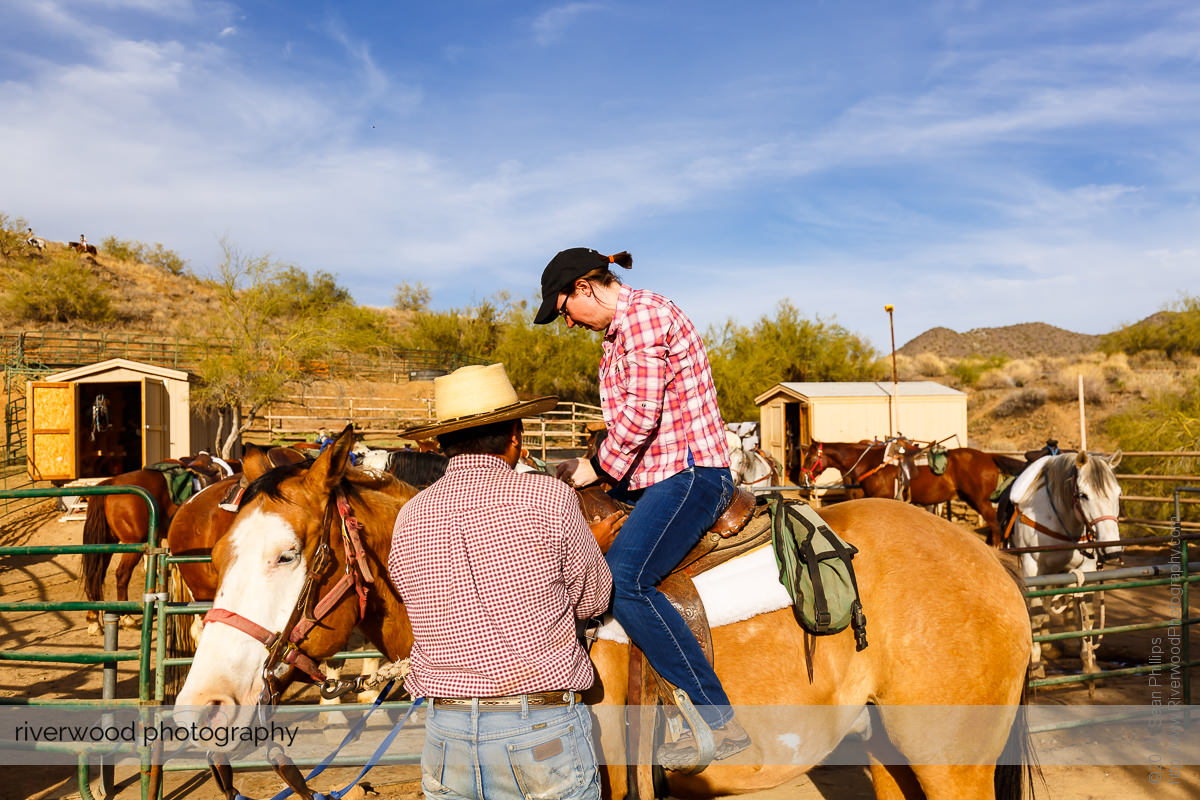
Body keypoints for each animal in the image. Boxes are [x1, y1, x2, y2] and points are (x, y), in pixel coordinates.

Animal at [800, 440, 1026, 546]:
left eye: (810, 457)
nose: (803, 480)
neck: (870, 462)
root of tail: (989, 457)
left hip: (980, 500)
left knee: (995, 528)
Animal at [1007, 450, 1122, 678]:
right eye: (1083, 495)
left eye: (1118, 494)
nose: (1112, 550)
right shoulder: (1033, 569)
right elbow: (1036, 616)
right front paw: (1035, 665)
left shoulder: (1085, 570)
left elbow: (1085, 614)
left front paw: (1089, 663)